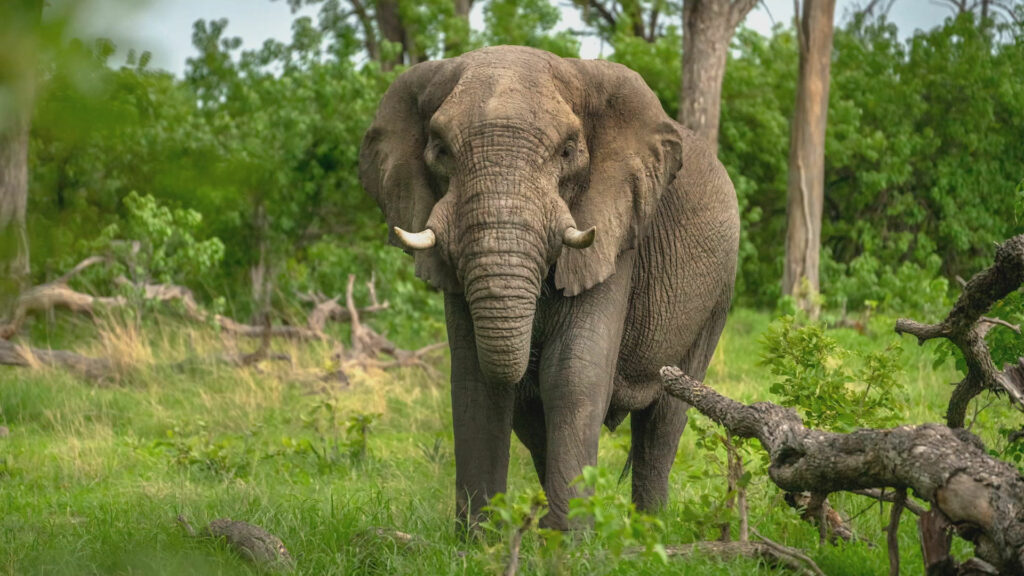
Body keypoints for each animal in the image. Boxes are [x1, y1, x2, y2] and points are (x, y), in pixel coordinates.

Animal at [358, 45, 737, 528]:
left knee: (664, 419)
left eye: (568, 151)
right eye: (440, 150)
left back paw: (647, 527)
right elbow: (475, 378)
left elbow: (572, 373)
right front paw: (480, 539)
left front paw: (572, 541)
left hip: (717, 296)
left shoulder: (614, 233)